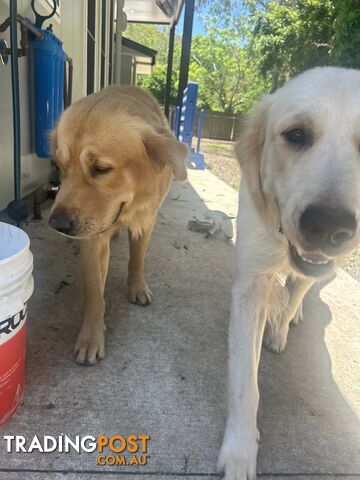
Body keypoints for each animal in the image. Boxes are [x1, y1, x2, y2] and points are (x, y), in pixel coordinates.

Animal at [49, 85, 188, 364]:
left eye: (101, 169)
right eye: (58, 166)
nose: (56, 224)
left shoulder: (146, 219)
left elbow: (137, 259)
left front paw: (137, 287)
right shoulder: (94, 237)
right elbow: (94, 295)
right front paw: (91, 337)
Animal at [217, 67, 360, 480]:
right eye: (296, 135)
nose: (328, 226)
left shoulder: (313, 269)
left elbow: (297, 290)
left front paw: (279, 330)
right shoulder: (250, 285)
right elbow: (245, 385)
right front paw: (240, 451)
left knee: (301, 289)